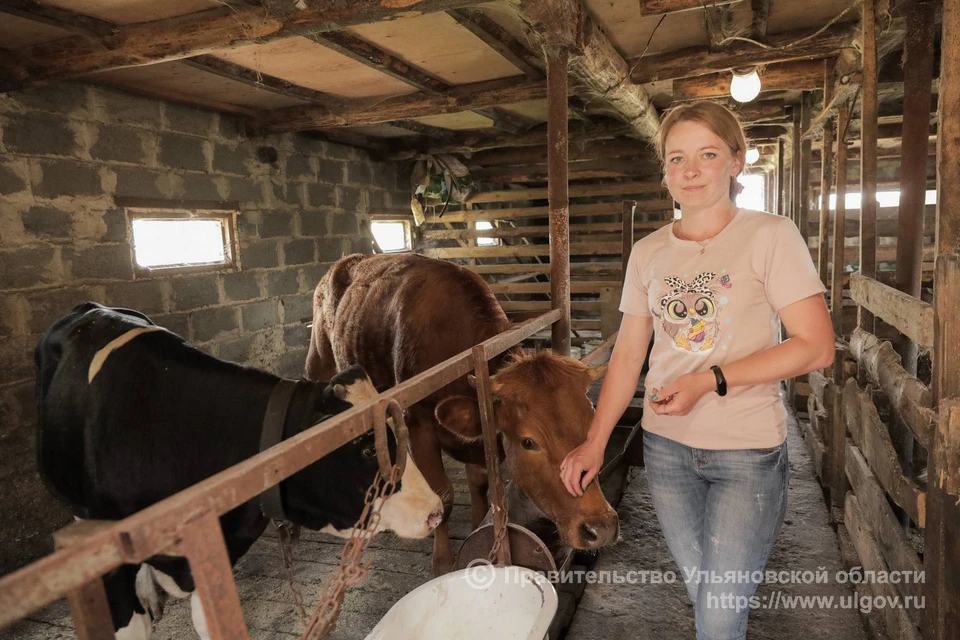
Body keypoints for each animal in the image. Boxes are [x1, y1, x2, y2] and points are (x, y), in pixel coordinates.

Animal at [310, 254, 624, 576]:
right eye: (528, 442)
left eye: (592, 429)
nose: (600, 528)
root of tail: (346, 261)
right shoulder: (417, 423)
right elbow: (443, 496)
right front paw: (443, 562)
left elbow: (479, 483)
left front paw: (478, 525)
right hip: (319, 360)